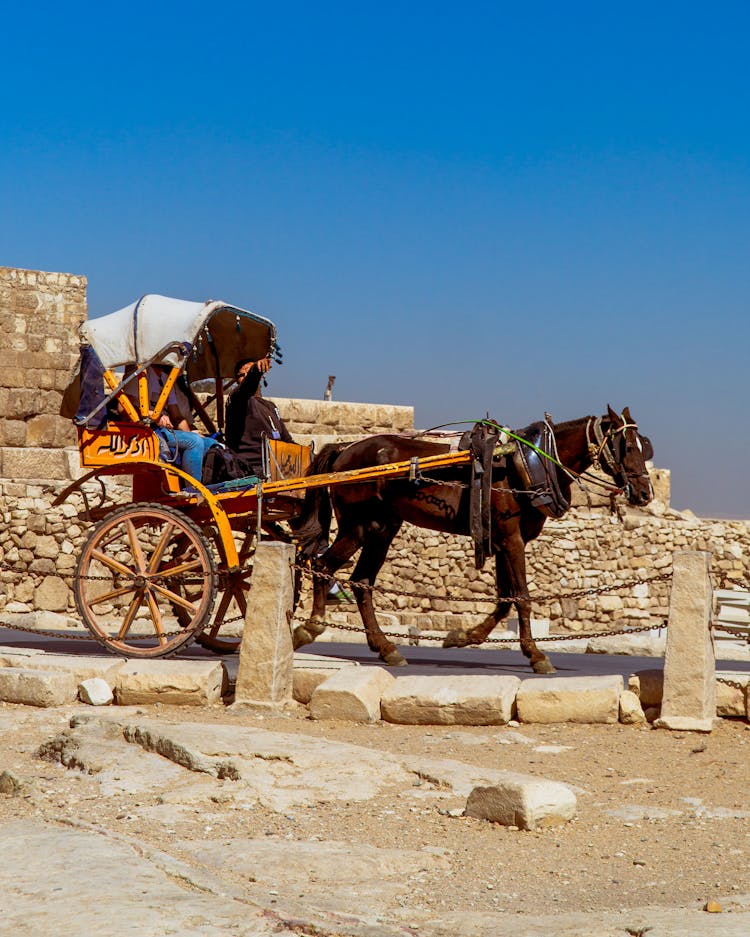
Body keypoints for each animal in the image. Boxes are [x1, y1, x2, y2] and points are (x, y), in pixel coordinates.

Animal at [290, 406, 656, 668]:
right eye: (626, 446)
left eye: (645, 448)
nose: (645, 493)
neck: (530, 464)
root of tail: (344, 449)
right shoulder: (511, 538)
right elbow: (521, 597)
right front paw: (537, 655)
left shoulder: (505, 540)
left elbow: (505, 599)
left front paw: (465, 636)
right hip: (358, 526)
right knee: (323, 566)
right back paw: (311, 627)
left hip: (382, 528)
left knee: (362, 582)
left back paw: (385, 647)